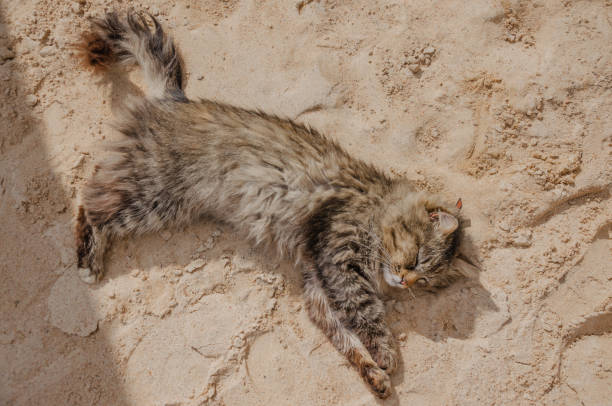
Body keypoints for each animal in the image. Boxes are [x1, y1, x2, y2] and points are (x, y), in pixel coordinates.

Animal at [76, 13, 466, 400]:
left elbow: (346, 337)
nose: (406, 281)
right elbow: (367, 315)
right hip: (154, 196)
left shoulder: (318, 283)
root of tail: (175, 99)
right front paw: (386, 355)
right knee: (90, 200)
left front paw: (374, 376)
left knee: (97, 186)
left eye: (425, 280)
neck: (375, 204)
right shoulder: (338, 259)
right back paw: (87, 264)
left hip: (161, 198)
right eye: (418, 258)